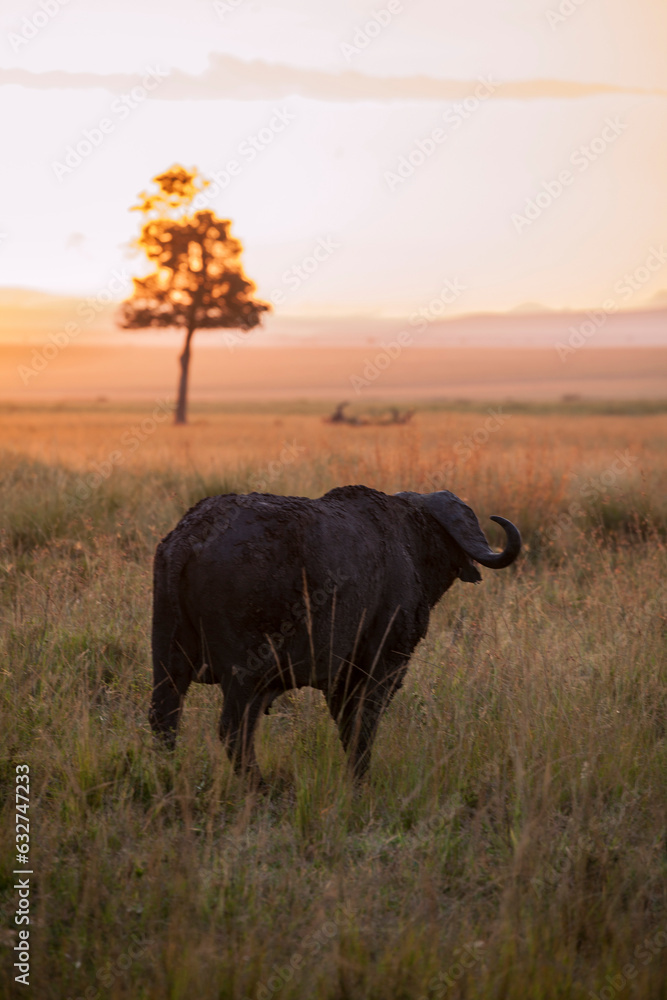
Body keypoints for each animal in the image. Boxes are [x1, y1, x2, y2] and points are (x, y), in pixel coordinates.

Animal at [150, 485, 520, 785]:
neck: (408, 542)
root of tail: (192, 536)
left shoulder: (339, 677)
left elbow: (347, 726)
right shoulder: (382, 666)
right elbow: (363, 726)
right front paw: (361, 781)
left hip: (168, 662)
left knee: (164, 721)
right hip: (245, 674)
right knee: (233, 731)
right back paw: (261, 786)